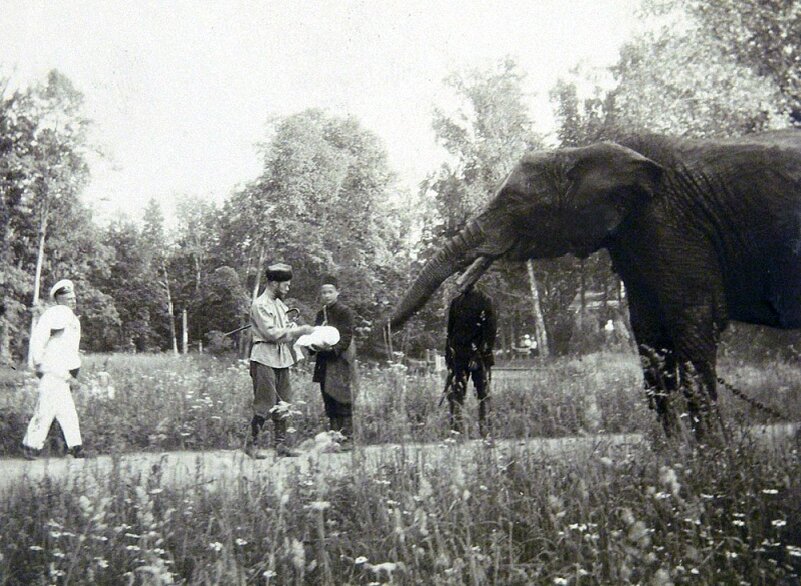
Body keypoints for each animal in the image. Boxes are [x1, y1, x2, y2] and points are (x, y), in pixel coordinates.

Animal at [376, 129, 800, 438]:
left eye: (515, 204)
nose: (383, 332)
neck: (582, 153)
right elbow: (650, 338)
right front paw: (672, 457)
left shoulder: (675, 227)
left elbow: (691, 326)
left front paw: (714, 458)